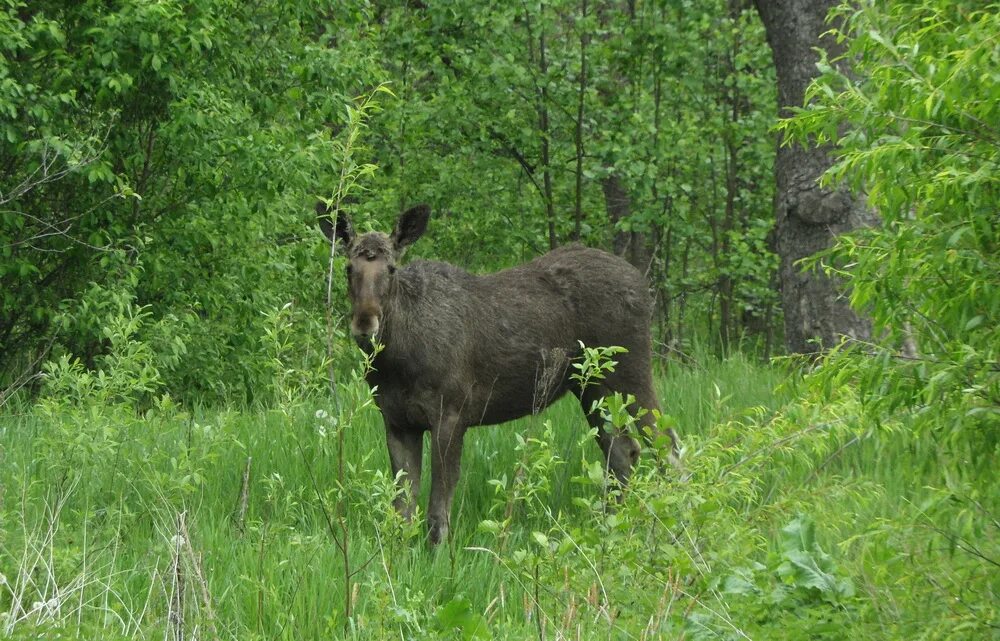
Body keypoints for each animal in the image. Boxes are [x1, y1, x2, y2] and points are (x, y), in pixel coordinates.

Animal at [318, 202, 680, 544]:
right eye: (348, 268)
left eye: (391, 268)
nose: (365, 324)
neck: (396, 360)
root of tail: (644, 285)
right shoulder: (397, 421)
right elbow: (401, 511)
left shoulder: (451, 414)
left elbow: (437, 511)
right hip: (591, 388)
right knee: (623, 453)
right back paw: (610, 528)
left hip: (631, 375)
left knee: (668, 447)